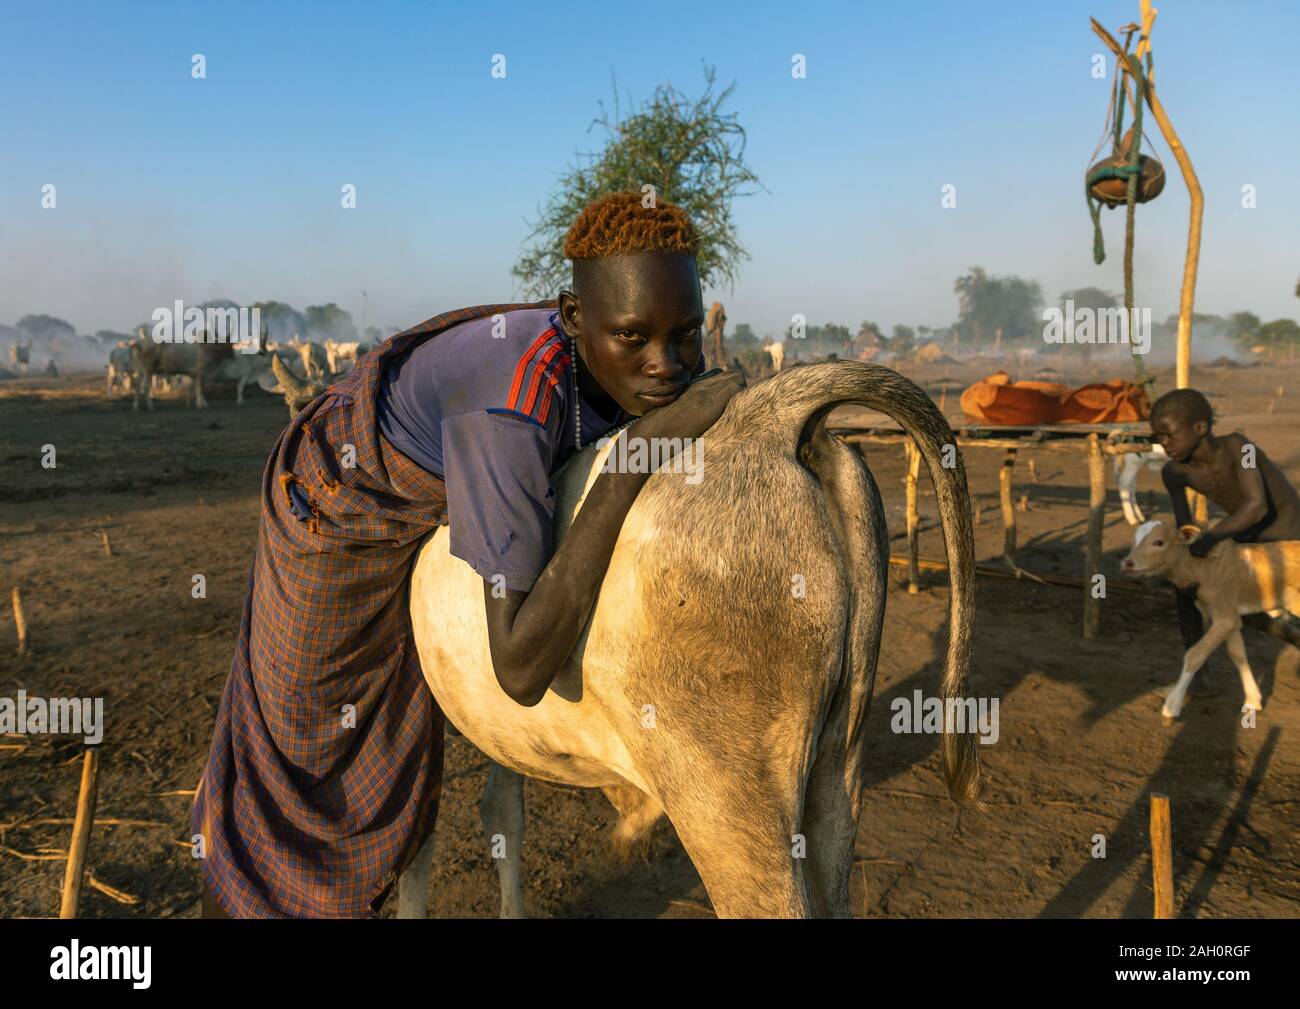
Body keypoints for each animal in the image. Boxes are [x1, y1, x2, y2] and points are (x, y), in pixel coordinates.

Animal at [1118, 517, 1300, 722]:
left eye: (1159, 542)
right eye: (1133, 541)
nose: (1127, 563)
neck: (1203, 567)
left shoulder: (1225, 618)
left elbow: (1195, 654)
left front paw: (1172, 705)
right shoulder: (1229, 618)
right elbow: (1238, 654)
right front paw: (1253, 699)